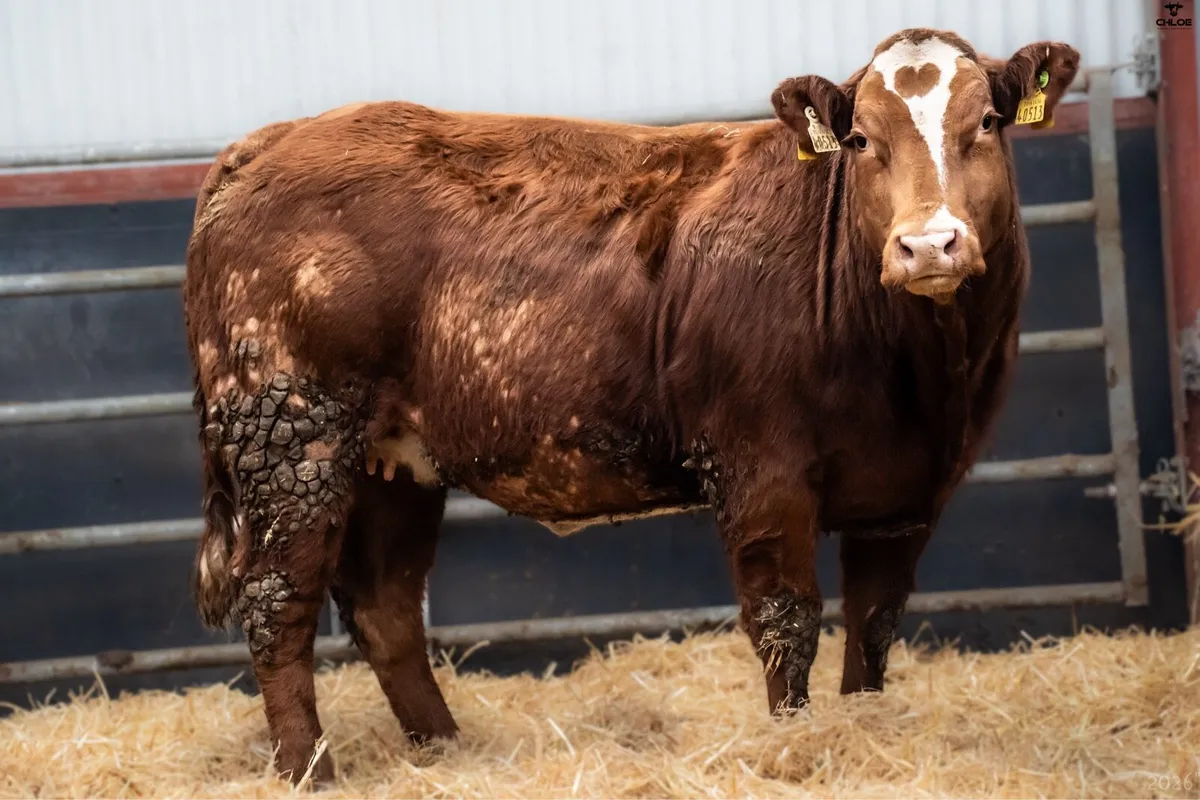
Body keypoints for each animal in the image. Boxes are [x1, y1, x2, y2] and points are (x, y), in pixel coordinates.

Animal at [183, 28, 1079, 783]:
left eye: (989, 121)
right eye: (861, 139)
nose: (929, 244)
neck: (917, 374)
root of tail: (267, 142)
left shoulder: (909, 492)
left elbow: (875, 622)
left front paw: (860, 730)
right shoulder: (759, 470)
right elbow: (786, 620)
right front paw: (795, 747)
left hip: (394, 461)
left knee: (385, 606)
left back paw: (447, 750)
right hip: (290, 436)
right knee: (277, 603)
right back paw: (310, 770)